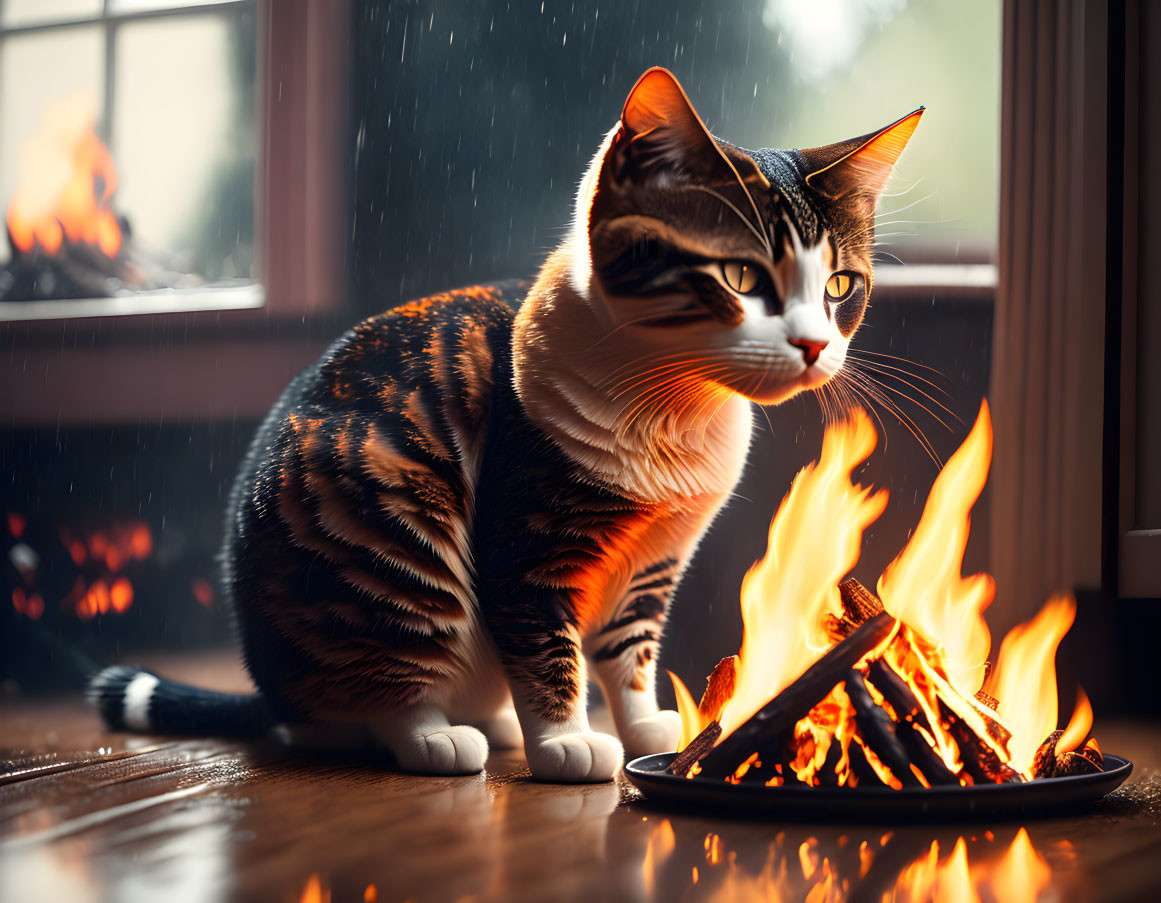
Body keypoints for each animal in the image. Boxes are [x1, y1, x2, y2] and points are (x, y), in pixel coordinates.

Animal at [90, 66, 919, 775]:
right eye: (741, 275)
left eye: (840, 285)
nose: (814, 345)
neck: (675, 414)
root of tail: (271, 691)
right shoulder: (529, 537)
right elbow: (546, 646)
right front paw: (563, 742)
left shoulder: (654, 559)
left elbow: (629, 652)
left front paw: (643, 725)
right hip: (396, 524)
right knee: (384, 686)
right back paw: (439, 737)